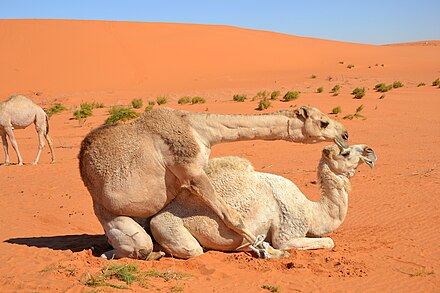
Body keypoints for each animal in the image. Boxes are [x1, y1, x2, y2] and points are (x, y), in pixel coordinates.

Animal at [78, 105, 348, 258]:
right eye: (323, 122)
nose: (345, 134)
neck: (199, 130)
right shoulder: (190, 171)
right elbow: (232, 217)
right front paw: (266, 249)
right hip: (105, 210)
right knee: (139, 245)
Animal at [150, 143, 376, 256]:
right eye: (345, 153)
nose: (370, 150)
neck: (312, 211)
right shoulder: (287, 233)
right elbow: (328, 241)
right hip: (167, 227)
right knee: (194, 250)